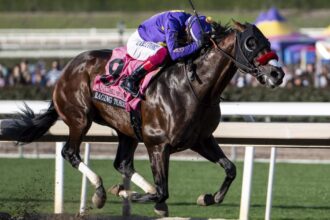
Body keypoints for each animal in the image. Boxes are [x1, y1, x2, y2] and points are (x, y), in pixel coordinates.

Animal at [0, 21, 284, 217]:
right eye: (250, 42)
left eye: (267, 41)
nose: (277, 73)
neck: (195, 88)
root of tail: (67, 68)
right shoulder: (158, 144)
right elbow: (162, 190)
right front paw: (130, 194)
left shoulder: (201, 139)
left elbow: (230, 169)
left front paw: (207, 198)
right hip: (79, 118)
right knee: (70, 152)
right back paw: (101, 192)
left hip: (126, 130)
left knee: (122, 163)